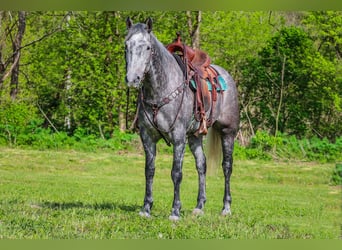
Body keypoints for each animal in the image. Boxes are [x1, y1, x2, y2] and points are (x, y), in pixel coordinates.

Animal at [124, 17, 239, 221]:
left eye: (147, 47)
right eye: (126, 45)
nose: (132, 79)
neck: (161, 90)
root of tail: (226, 76)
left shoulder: (178, 137)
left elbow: (176, 173)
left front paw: (175, 211)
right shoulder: (147, 137)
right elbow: (149, 171)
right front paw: (146, 208)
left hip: (228, 132)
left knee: (227, 167)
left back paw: (226, 208)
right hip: (195, 137)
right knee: (202, 165)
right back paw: (199, 206)